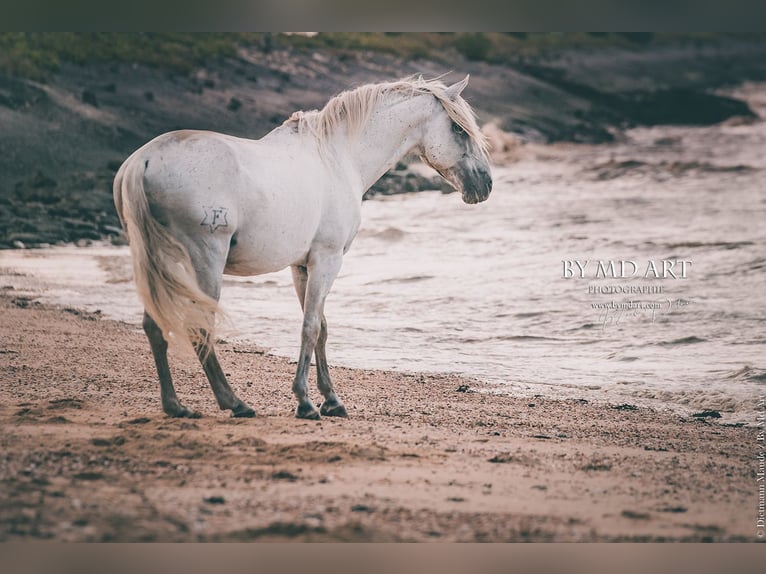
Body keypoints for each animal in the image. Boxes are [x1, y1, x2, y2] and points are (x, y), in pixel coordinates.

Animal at [117, 74, 496, 420]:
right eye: (459, 130)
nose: (486, 184)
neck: (337, 158)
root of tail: (143, 162)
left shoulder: (302, 266)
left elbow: (321, 328)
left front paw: (331, 400)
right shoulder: (327, 260)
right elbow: (311, 327)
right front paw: (305, 402)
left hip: (157, 262)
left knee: (154, 326)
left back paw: (175, 406)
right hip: (205, 261)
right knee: (200, 328)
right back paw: (234, 403)